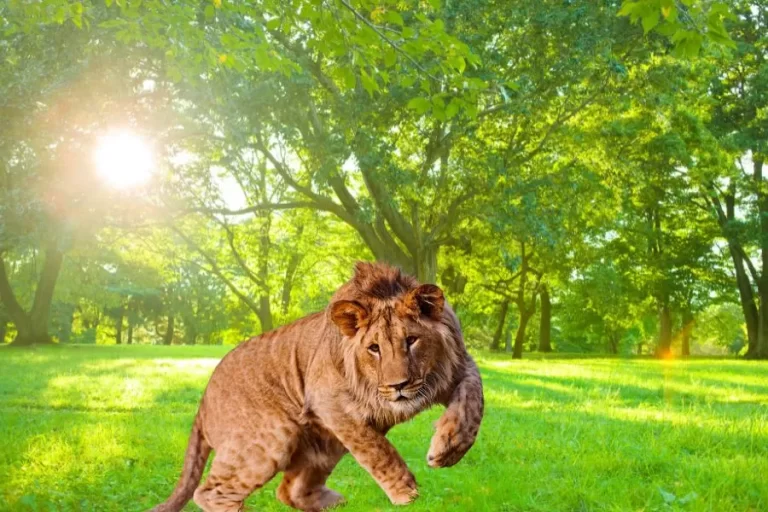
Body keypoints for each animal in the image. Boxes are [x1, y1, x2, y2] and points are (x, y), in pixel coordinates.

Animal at [153, 262, 484, 512]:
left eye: (411, 340)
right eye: (374, 348)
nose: (398, 385)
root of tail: (204, 398)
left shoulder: (461, 365)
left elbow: (473, 402)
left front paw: (448, 448)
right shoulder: (330, 402)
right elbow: (378, 450)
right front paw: (407, 493)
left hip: (324, 443)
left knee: (289, 491)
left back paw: (332, 502)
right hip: (271, 438)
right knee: (209, 492)